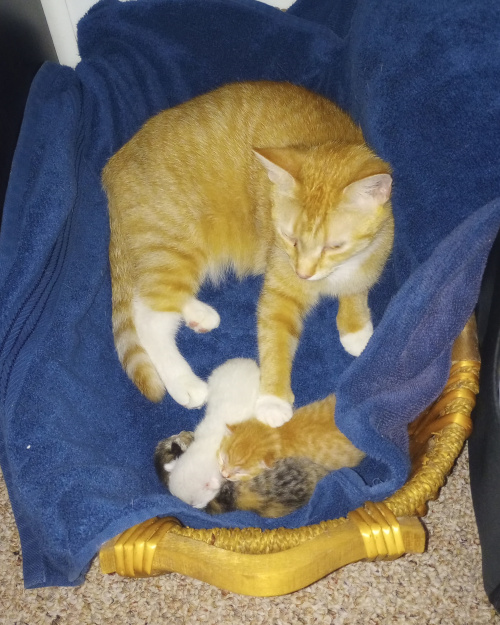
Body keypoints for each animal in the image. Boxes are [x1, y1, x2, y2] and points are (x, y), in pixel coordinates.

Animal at [102, 80, 394, 426]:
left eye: (334, 246)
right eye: (290, 238)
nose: (303, 273)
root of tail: (115, 164)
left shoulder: (376, 252)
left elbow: (358, 286)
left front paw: (356, 328)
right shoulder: (280, 289)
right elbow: (275, 341)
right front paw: (273, 400)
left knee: (147, 299)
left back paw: (198, 314)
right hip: (175, 246)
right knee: (149, 317)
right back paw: (184, 383)